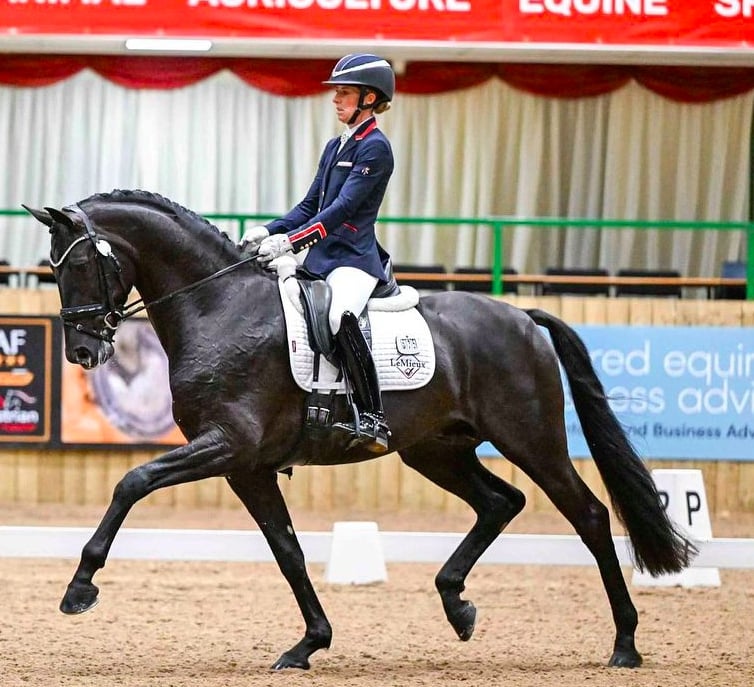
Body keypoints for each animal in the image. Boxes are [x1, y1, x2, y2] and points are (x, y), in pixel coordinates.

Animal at [25, 191, 692, 676]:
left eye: (79, 263)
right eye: (53, 269)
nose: (84, 351)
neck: (218, 307)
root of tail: (521, 316)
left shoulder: (228, 444)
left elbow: (133, 481)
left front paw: (79, 588)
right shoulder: (247, 466)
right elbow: (287, 550)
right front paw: (309, 644)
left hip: (531, 439)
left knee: (589, 516)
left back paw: (625, 644)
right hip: (435, 450)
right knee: (502, 501)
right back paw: (458, 605)